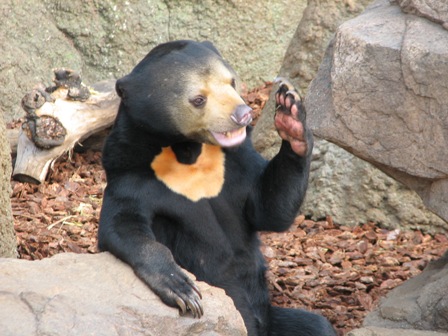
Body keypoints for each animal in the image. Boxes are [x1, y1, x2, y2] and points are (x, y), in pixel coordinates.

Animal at [99, 40, 336, 336]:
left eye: (231, 81)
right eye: (198, 99)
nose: (243, 115)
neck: (187, 151)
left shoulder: (237, 161)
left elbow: (268, 210)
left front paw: (291, 116)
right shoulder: (129, 172)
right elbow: (121, 224)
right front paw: (181, 288)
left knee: (316, 325)